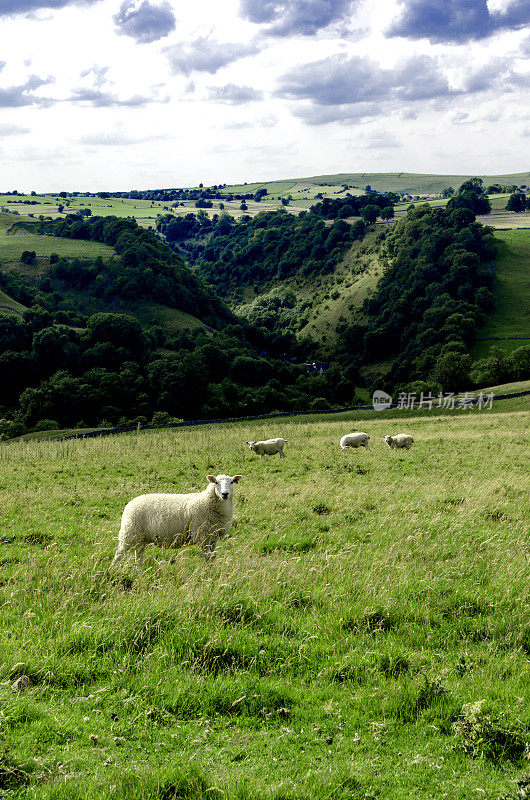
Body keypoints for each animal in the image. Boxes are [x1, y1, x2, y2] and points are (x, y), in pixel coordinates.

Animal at [109, 476, 241, 568]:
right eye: (216, 482)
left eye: (231, 482)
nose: (225, 494)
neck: (207, 502)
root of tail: (129, 504)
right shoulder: (203, 535)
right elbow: (208, 556)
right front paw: (207, 571)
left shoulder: (213, 536)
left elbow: (213, 556)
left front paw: (212, 569)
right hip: (130, 533)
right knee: (119, 554)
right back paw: (112, 571)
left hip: (140, 537)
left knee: (138, 556)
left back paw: (139, 572)